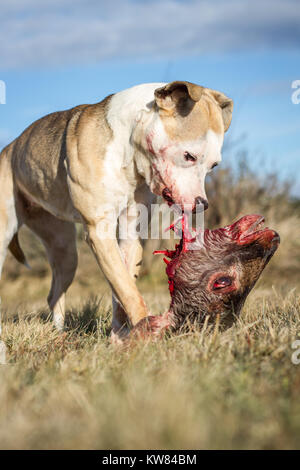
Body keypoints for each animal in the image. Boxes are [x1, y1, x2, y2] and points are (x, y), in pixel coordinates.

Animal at [0, 82, 232, 336]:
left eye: (214, 165)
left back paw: (60, 334)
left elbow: (123, 286)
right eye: (189, 155)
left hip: (64, 250)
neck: (128, 151)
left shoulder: (131, 233)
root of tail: (10, 148)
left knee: (54, 295)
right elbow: (127, 288)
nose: (202, 204)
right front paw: (146, 331)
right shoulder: (99, 230)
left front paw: (121, 335)